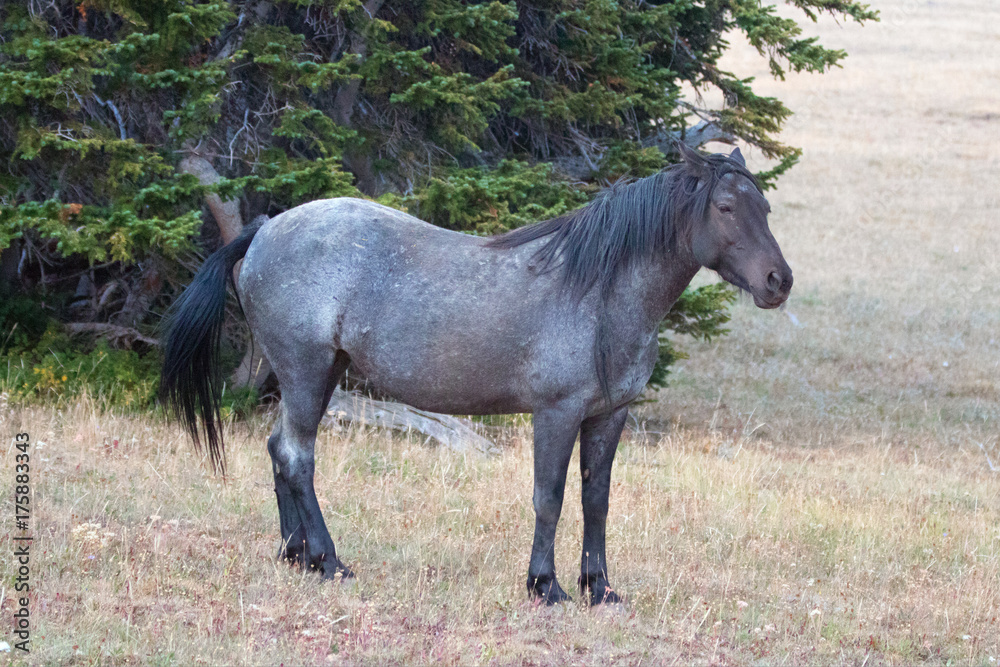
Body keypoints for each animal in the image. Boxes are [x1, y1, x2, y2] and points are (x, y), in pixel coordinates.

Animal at [161, 144, 792, 605]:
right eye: (726, 208)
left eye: (764, 208)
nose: (778, 281)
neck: (598, 292)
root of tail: (266, 229)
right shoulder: (556, 413)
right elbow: (549, 497)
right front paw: (546, 586)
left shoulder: (609, 416)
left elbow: (597, 500)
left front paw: (601, 589)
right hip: (306, 371)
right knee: (297, 458)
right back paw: (329, 561)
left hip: (314, 377)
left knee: (279, 450)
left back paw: (295, 555)